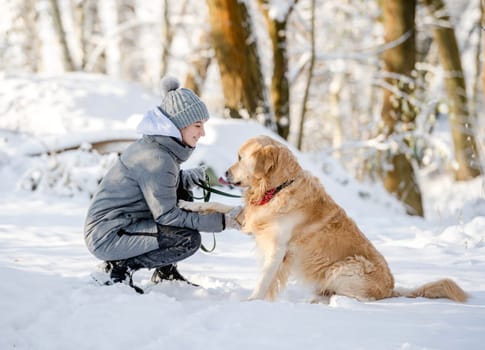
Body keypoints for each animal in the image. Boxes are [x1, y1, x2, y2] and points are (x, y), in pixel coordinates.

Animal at [180, 135, 466, 304]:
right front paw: (187, 204)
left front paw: (251, 303)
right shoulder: (250, 221)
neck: (277, 188)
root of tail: (391, 289)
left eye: (240, 158)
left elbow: (263, 280)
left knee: (352, 297)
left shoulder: (277, 249)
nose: (225, 173)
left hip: (346, 267)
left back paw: (322, 300)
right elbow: (218, 205)